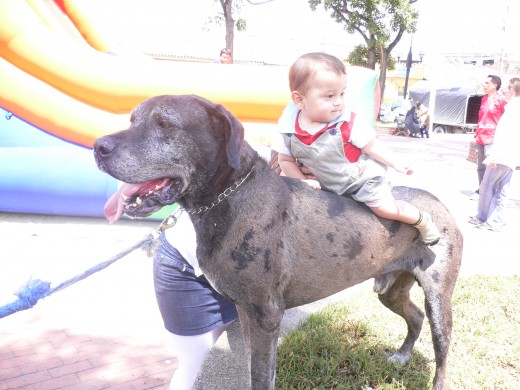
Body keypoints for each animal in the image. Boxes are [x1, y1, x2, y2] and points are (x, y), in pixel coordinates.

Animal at [94, 95, 464, 390]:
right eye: (132, 119)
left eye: (165, 123)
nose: (98, 147)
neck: (230, 194)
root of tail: (441, 203)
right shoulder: (247, 312)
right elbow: (254, 369)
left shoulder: (265, 315)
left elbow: (260, 375)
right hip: (390, 289)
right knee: (414, 315)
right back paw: (402, 356)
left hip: (439, 298)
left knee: (443, 351)